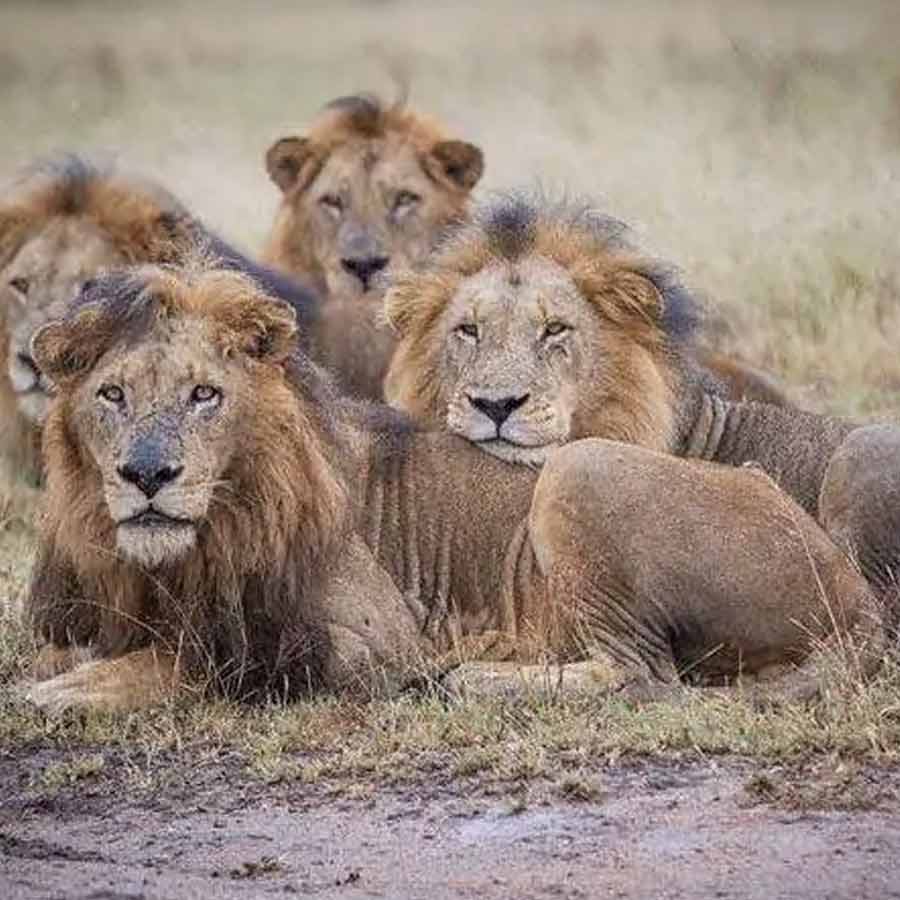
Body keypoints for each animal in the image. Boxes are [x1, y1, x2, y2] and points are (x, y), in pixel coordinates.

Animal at [21, 263, 879, 713]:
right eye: (112, 395)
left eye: (204, 394)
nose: (146, 475)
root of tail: (857, 597)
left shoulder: (371, 643)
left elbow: (209, 660)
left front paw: (71, 692)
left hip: (578, 466)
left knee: (640, 674)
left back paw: (479, 676)